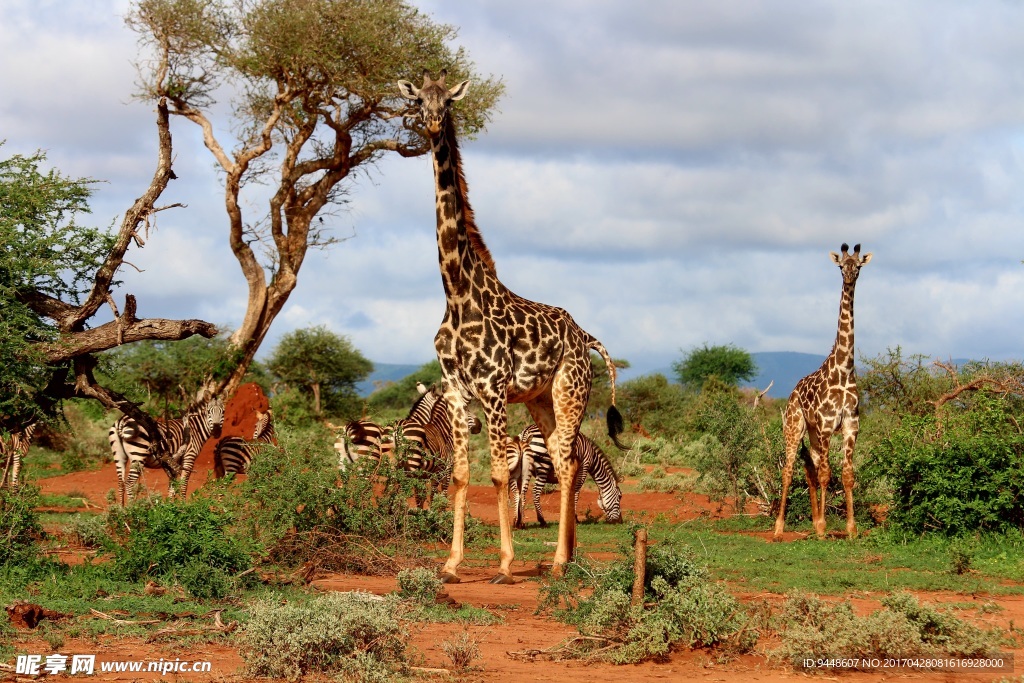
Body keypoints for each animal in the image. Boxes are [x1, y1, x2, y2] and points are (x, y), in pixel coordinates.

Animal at [397, 69, 622, 585]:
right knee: (565, 457)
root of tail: (586, 337)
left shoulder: (494, 387)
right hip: (540, 399)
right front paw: (451, 564)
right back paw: (568, 556)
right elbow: (461, 473)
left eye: (448, 101)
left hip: (569, 391)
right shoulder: (456, 390)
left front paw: (503, 563)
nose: (432, 123)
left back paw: (558, 560)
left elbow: (499, 473)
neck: (457, 294)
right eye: (418, 100)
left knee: (566, 462)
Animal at [774, 242, 872, 540]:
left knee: (810, 469)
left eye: (858, 266)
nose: (849, 277)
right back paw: (779, 528)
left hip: (813, 434)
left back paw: (814, 521)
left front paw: (850, 529)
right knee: (789, 470)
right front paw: (823, 528)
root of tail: (793, 392)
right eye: (841, 266)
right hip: (794, 427)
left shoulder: (851, 426)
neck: (844, 369)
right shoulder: (828, 426)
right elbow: (828, 474)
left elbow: (847, 474)